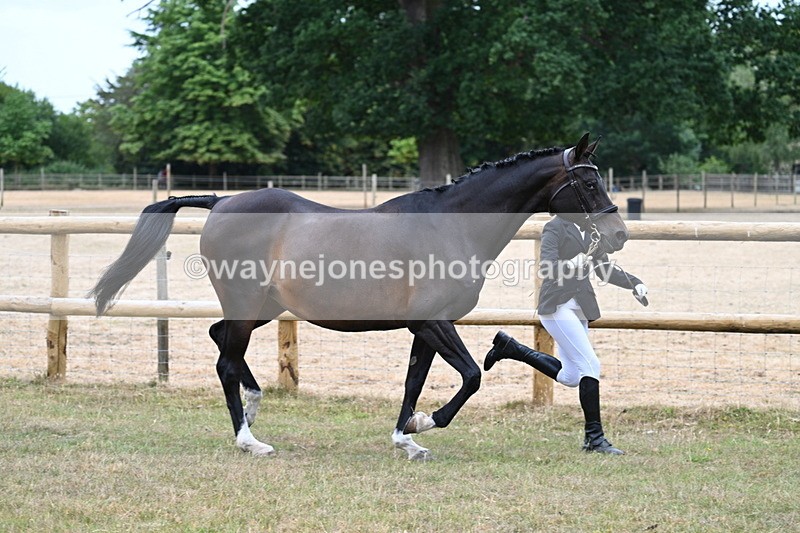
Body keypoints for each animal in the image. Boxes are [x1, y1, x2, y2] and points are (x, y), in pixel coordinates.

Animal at [90, 133, 628, 460]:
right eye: (588, 180)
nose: (618, 233)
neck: (450, 225)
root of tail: (222, 201)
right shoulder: (434, 322)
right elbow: (472, 376)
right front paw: (426, 425)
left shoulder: (424, 328)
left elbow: (414, 381)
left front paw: (405, 438)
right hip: (247, 306)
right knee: (224, 359)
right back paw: (249, 440)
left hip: (263, 307)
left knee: (218, 337)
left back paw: (254, 402)